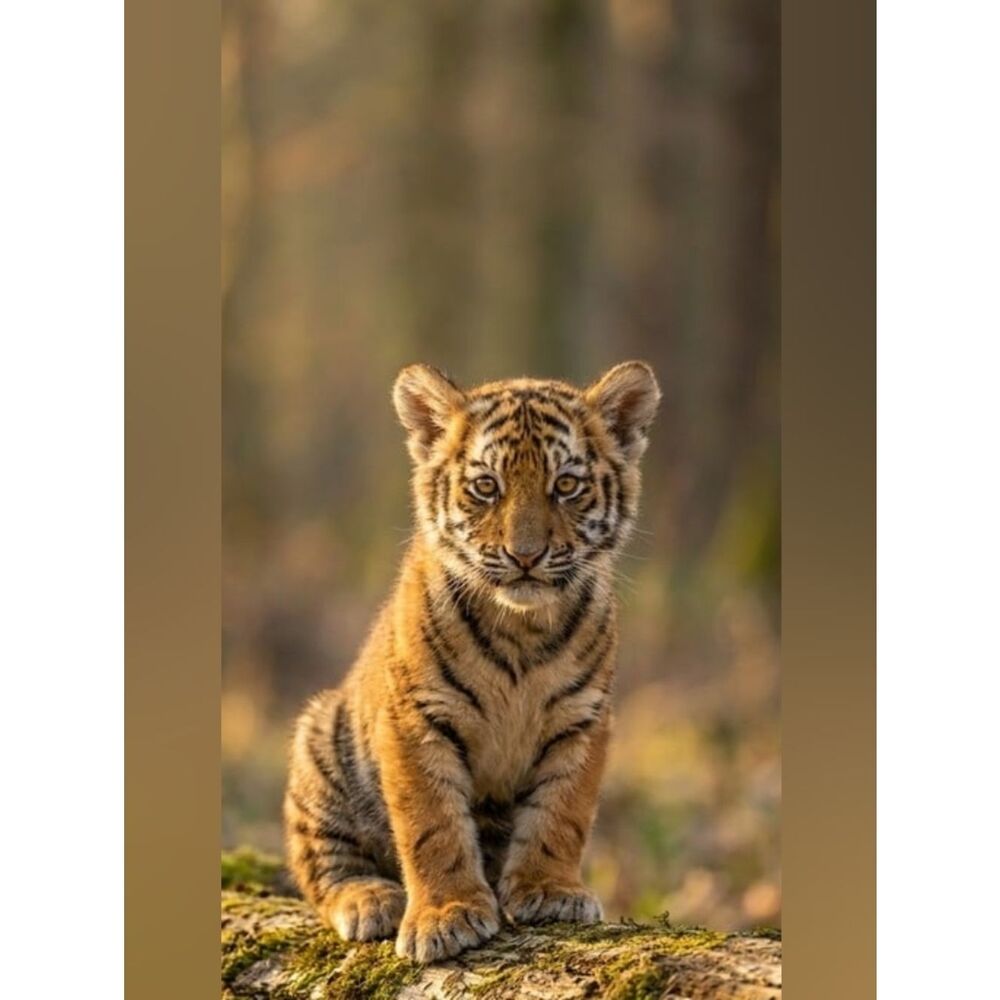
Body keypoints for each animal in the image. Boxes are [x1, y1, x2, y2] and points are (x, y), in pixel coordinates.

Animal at [284, 360, 661, 963]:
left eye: (566, 485)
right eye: (487, 487)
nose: (525, 556)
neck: (521, 629)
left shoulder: (582, 720)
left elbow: (562, 813)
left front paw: (550, 891)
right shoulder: (416, 718)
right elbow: (432, 824)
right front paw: (446, 916)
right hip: (319, 739)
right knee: (323, 868)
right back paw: (370, 901)